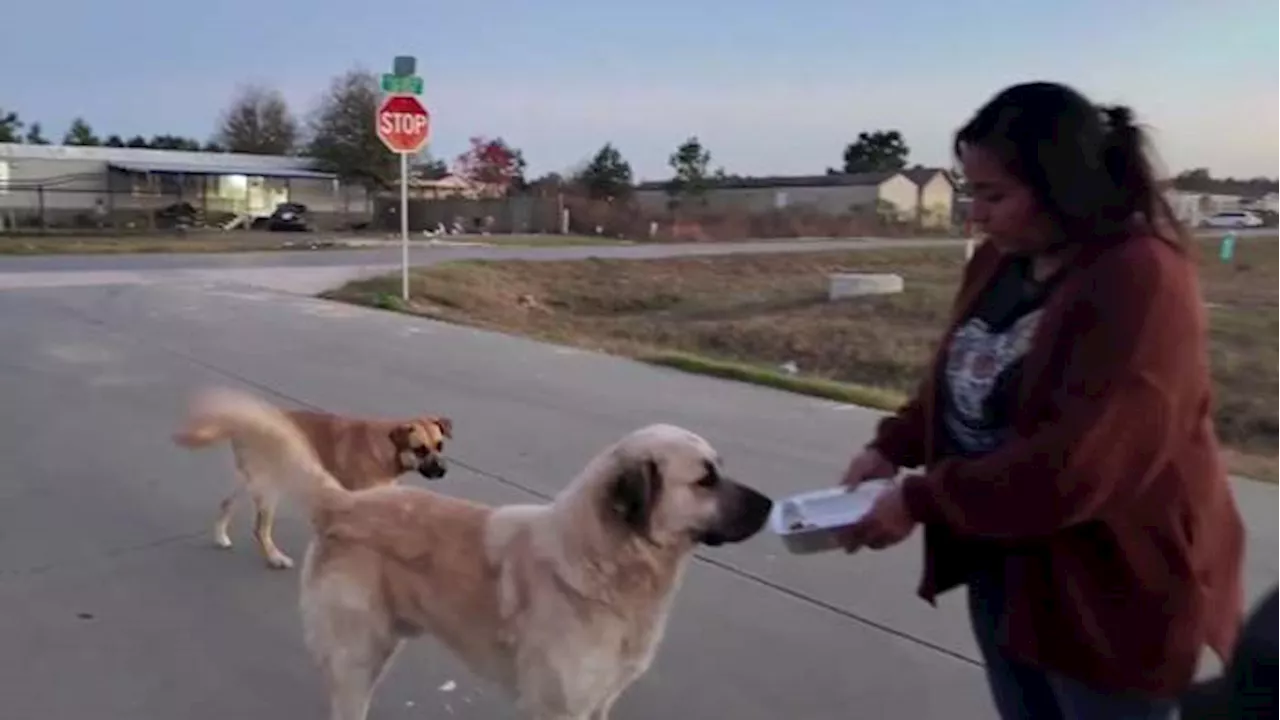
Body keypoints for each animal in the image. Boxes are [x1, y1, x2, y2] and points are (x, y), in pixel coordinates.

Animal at [170, 392, 450, 566]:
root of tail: (243, 420)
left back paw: (221, 537)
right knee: (260, 528)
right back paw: (275, 558)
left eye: (440, 445)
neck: (387, 448)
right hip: (270, 486)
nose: (443, 471)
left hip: (249, 479)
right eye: (420, 450)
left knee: (227, 503)